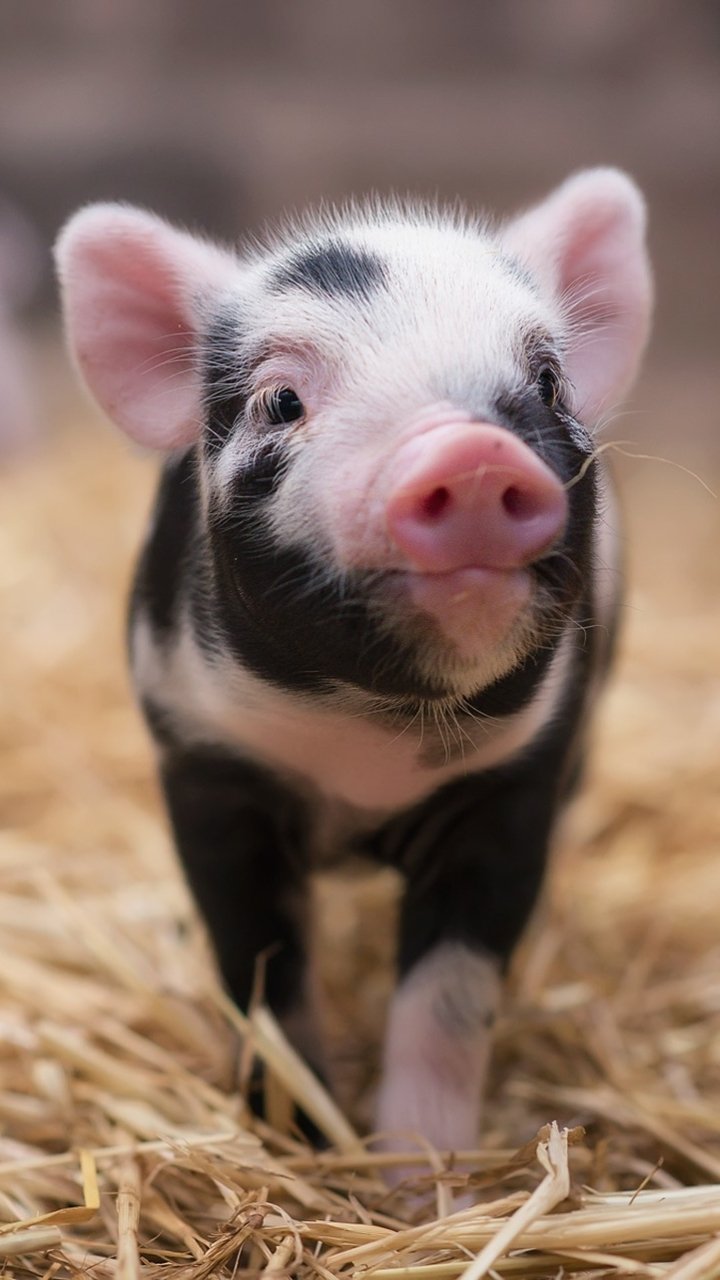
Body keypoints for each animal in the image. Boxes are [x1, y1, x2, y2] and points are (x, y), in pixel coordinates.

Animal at [55, 169, 651, 1161]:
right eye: (281, 401)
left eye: (546, 379)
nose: (473, 452)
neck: (367, 753)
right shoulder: (209, 773)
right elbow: (259, 971)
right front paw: (299, 1142)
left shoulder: (513, 789)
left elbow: (449, 1003)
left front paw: (421, 1174)